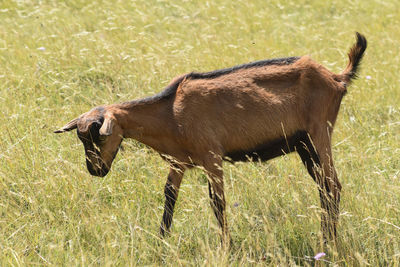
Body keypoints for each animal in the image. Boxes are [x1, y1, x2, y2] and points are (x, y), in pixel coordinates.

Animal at [54, 32, 368, 246]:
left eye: (98, 137)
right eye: (81, 139)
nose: (95, 170)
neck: (170, 112)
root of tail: (337, 78)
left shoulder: (212, 156)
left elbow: (217, 202)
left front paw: (225, 247)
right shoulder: (179, 162)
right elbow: (169, 197)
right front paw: (162, 241)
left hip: (319, 134)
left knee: (332, 186)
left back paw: (328, 243)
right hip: (304, 145)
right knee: (324, 188)